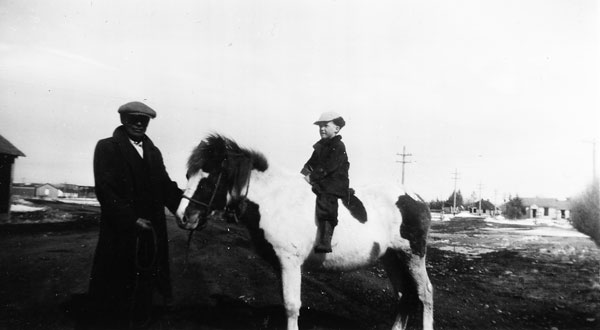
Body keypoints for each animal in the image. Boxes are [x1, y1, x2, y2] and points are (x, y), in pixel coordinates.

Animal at [176, 135, 434, 330]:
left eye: (209, 180)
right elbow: (285, 302)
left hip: (413, 255)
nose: (183, 217)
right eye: (188, 175)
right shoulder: (280, 264)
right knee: (403, 295)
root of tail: (416, 198)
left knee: (425, 294)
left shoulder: (290, 262)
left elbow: (292, 306)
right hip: (392, 257)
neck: (273, 199)